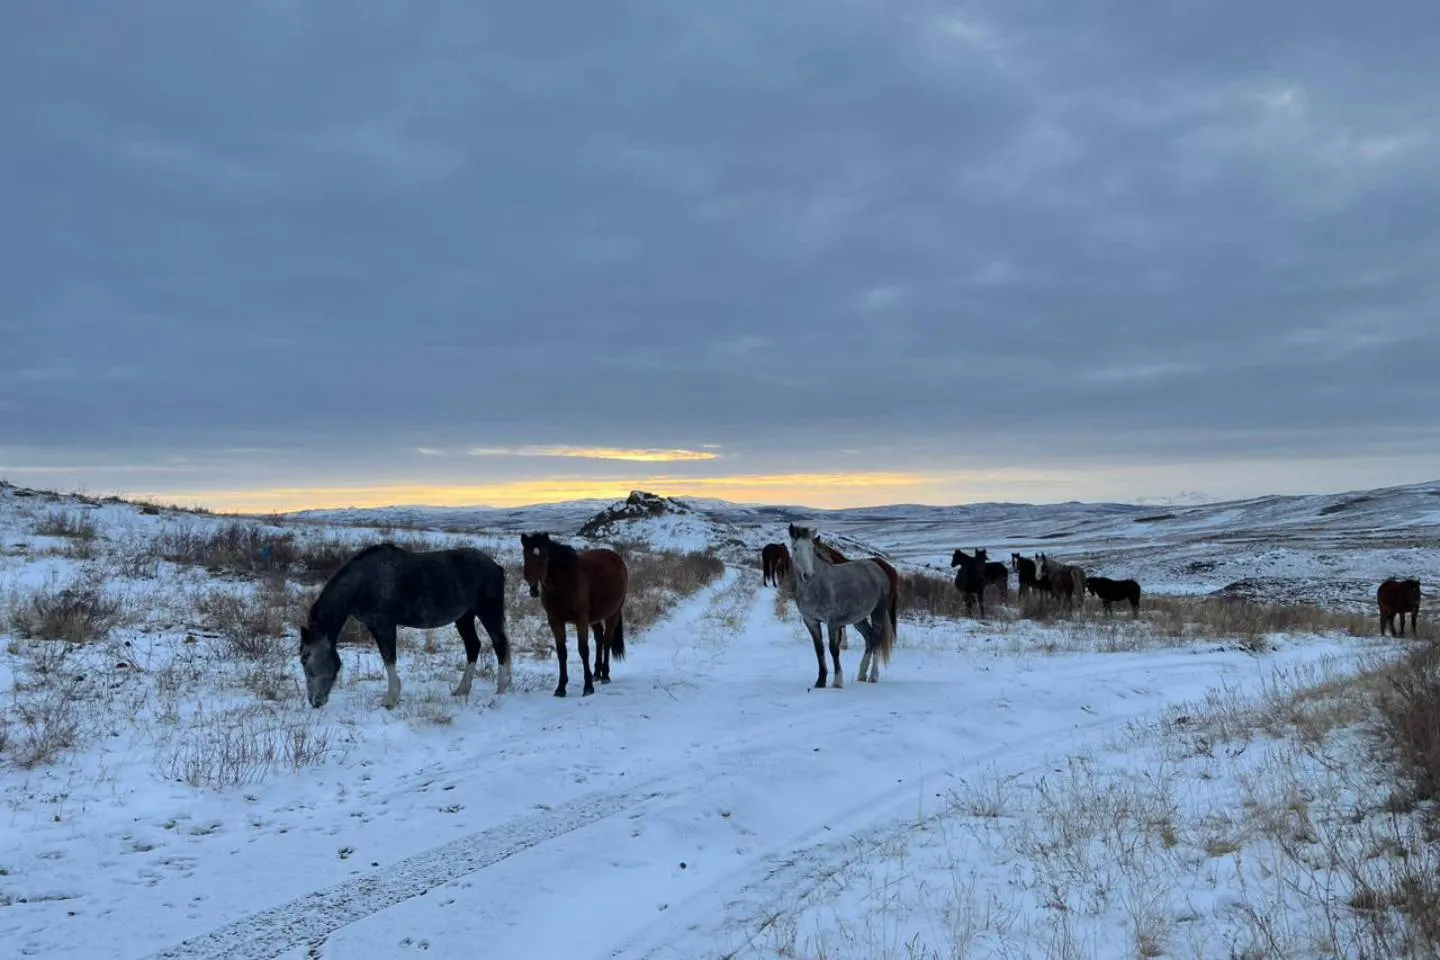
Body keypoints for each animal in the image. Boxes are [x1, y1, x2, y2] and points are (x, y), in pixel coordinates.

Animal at [296, 544, 512, 711]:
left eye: (305, 660)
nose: (314, 702)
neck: (363, 581)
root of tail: (495, 566)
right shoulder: (374, 626)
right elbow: (386, 658)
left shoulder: (385, 625)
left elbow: (389, 659)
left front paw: (391, 700)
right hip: (464, 617)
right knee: (473, 646)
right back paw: (462, 689)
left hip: (488, 612)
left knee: (500, 644)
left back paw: (501, 689)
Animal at [521, 532, 627, 699]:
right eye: (526, 555)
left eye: (544, 557)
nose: (533, 588)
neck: (565, 583)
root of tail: (617, 558)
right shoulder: (555, 621)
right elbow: (561, 652)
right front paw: (560, 688)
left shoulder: (581, 619)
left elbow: (583, 650)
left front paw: (588, 687)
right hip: (594, 618)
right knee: (599, 638)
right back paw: (596, 674)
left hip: (613, 613)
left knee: (607, 641)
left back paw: (605, 676)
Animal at [783, 521, 892, 687]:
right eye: (795, 548)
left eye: (811, 548)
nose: (809, 575)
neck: (815, 587)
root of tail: (877, 568)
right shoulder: (811, 621)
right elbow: (819, 649)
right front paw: (820, 681)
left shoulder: (832, 622)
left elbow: (833, 649)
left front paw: (837, 681)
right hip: (859, 618)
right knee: (869, 637)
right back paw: (862, 674)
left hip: (877, 612)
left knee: (876, 639)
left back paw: (873, 676)